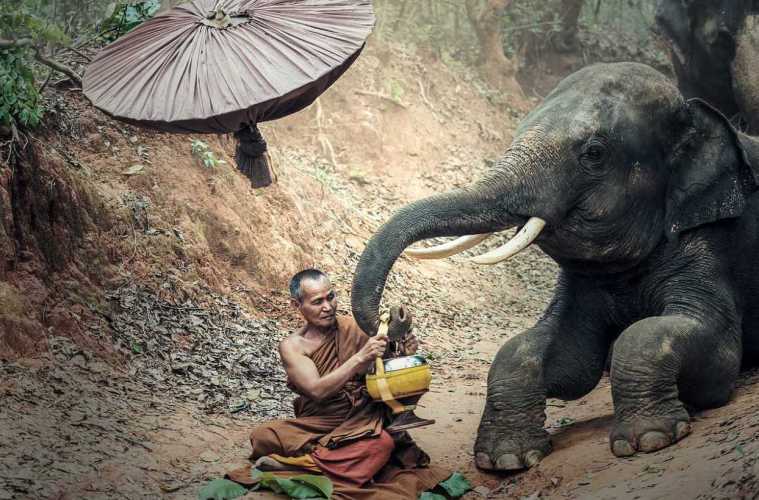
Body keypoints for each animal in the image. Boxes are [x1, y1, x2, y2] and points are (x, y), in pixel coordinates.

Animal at [350, 62, 759, 470]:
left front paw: (648, 440)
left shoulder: (712, 242)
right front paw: (506, 459)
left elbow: (703, 348)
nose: (395, 315)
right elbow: (559, 355)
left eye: (594, 153)